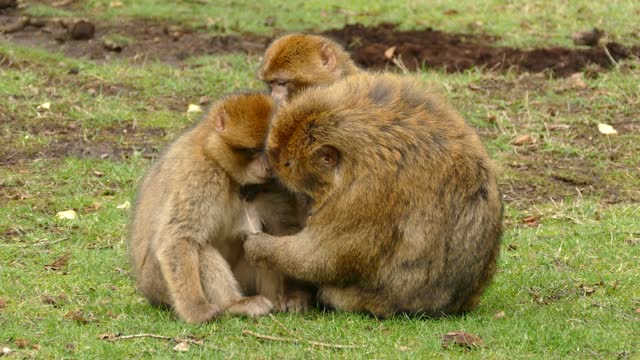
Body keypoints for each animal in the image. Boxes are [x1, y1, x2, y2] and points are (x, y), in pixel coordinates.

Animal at [129, 93, 280, 324]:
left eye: (270, 150)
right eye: (253, 150)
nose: (268, 168)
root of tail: (146, 290)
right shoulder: (199, 176)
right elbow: (178, 239)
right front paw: (196, 309)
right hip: (158, 284)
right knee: (200, 249)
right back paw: (234, 304)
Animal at [242, 74, 502, 318]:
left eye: (288, 164)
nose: (309, 209)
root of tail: (457, 304)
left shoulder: (365, 193)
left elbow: (325, 256)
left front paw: (262, 247)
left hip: (378, 300)